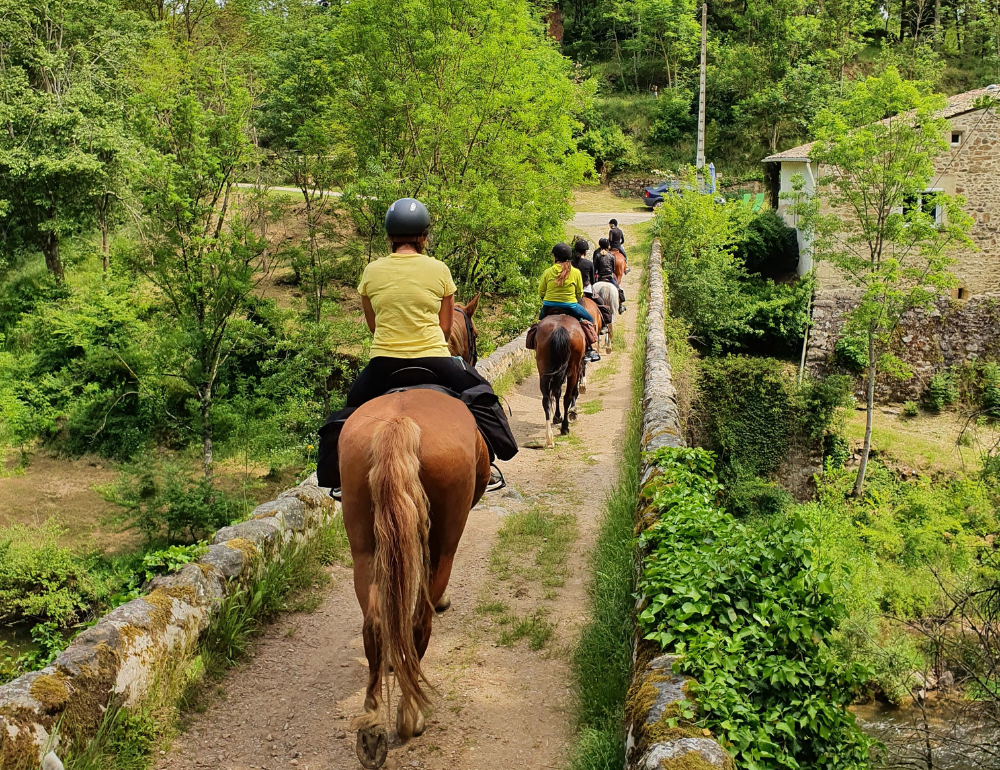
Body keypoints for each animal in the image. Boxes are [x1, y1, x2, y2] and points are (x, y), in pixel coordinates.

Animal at [338, 390, 490, 768]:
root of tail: (399, 423)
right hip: (443, 544)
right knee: (421, 620)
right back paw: (410, 715)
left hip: (363, 544)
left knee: (376, 622)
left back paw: (372, 730)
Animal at [536, 310, 588, 444]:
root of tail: (559, 328)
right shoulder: (577, 368)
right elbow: (572, 392)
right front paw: (573, 411)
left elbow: (556, 392)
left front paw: (557, 417)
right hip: (573, 370)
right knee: (567, 397)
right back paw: (565, 428)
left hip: (543, 370)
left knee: (546, 399)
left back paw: (549, 436)